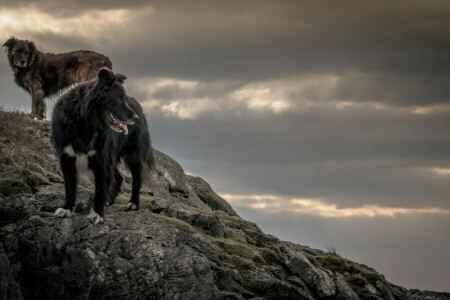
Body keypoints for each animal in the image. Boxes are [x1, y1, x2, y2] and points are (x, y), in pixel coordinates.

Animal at [51, 67, 155, 223]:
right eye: (118, 99)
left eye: (124, 99)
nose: (135, 117)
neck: (84, 122)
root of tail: (139, 108)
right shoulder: (66, 157)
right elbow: (69, 186)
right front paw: (66, 209)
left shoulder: (101, 158)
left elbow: (100, 188)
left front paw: (97, 214)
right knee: (118, 177)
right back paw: (109, 200)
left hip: (134, 154)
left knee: (137, 178)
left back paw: (133, 203)